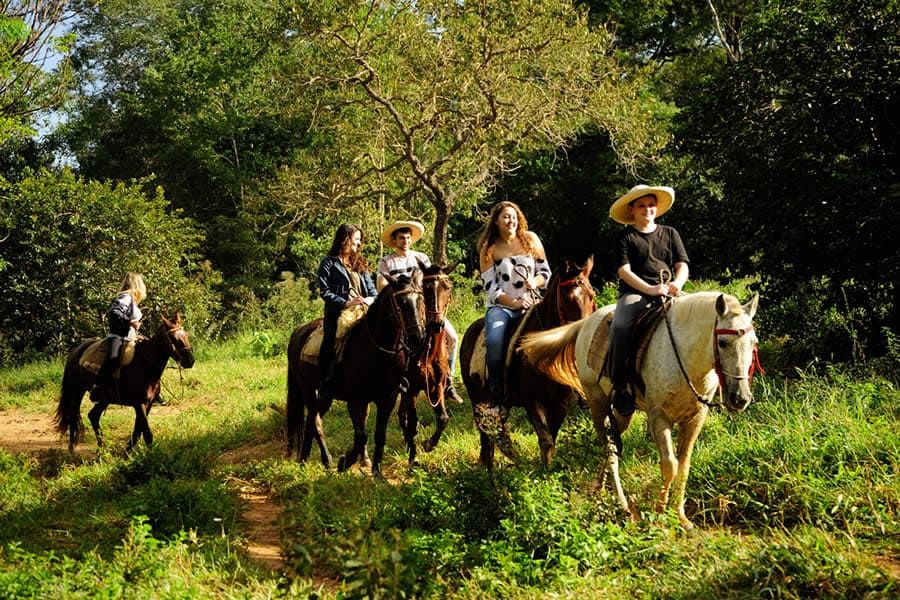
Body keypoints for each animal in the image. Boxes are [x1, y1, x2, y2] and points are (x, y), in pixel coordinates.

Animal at [55, 316, 195, 452]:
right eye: (174, 338)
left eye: (186, 335)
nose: (190, 361)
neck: (145, 365)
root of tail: (76, 351)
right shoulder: (139, 403)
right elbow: (147, 434)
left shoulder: (148, 403)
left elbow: (138, 430)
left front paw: (127, 451)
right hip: (76, 392)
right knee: (73, 416)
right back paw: (73, 448)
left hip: (105, 398)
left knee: (93, 416)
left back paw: (102, 450)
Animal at [288, 274, 428, 478]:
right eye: (400, 302)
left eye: (420, 299)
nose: (418, 337)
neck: (377, 350)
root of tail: (299, 331)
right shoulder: (355, 400)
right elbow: (362, 436)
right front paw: (345, 462)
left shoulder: (388, 398)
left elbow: (379, 434)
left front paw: (377, 472)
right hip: (308, 390)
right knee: (315, 422)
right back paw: (318, 460)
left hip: (324, 397)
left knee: (311, 423)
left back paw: (312, 461)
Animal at [398, 260, 458, 462]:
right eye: (424, 287)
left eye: (447, 286)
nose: (436, 324)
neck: (427, 352)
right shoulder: (412, 389)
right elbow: (412, 421)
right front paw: (414, 455)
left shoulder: (436, 386)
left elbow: (443, 419)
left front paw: (428, 444)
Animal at [460, 255, 596, 472]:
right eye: (567, 299)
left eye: (592, 295)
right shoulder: (532, 401)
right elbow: (546, 440)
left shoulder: (562, 403)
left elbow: (551, 439)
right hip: (476, 397)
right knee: (485, 431)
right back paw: (486, 467)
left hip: (504, 403)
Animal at [520, 292, 760, 528]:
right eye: (722, 342)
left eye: (754, 343)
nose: (740, 398)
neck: (686, 358)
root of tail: (586, 322)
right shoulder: (658, 417)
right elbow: (670, 465)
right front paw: (660, 514)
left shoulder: (695, 419)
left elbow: (684, 466)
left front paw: (680, 516)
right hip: (597, 402)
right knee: (609, 449)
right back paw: (623, 504)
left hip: (623, 412)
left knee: (612, 443)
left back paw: (600, 489)